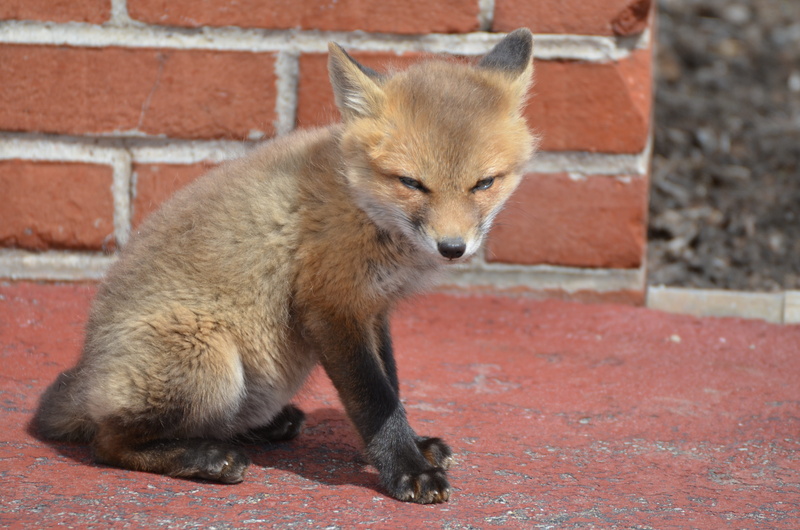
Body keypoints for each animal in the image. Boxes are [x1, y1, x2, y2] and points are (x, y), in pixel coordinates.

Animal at [32, 28, 537, 504]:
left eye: (484, 183)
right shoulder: (331, 307)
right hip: (209, 357)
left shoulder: (374, 310)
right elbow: (374, 399)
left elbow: (391, 383)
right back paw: (205, 457)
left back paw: (260, 427)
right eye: (412, 183)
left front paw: (415, 445)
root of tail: (87, 372)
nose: (452, 247)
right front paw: (406, 467)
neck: (360, 205)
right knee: (106, 443)